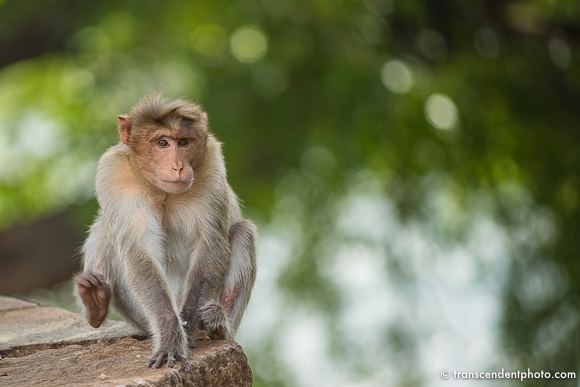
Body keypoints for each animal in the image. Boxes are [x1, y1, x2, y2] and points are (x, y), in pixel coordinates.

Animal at [76, 91, 258, 372]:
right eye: (162, 143)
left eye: (183, 142)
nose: (178, 166)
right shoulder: (114, 172)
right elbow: (137, 249)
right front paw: (171, 335)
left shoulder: (212, 163)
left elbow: (211, 243)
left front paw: (188, 324)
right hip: (140, 315)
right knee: (104, 229)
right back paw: (95, 301)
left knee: (242, 232)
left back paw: (218, 326)